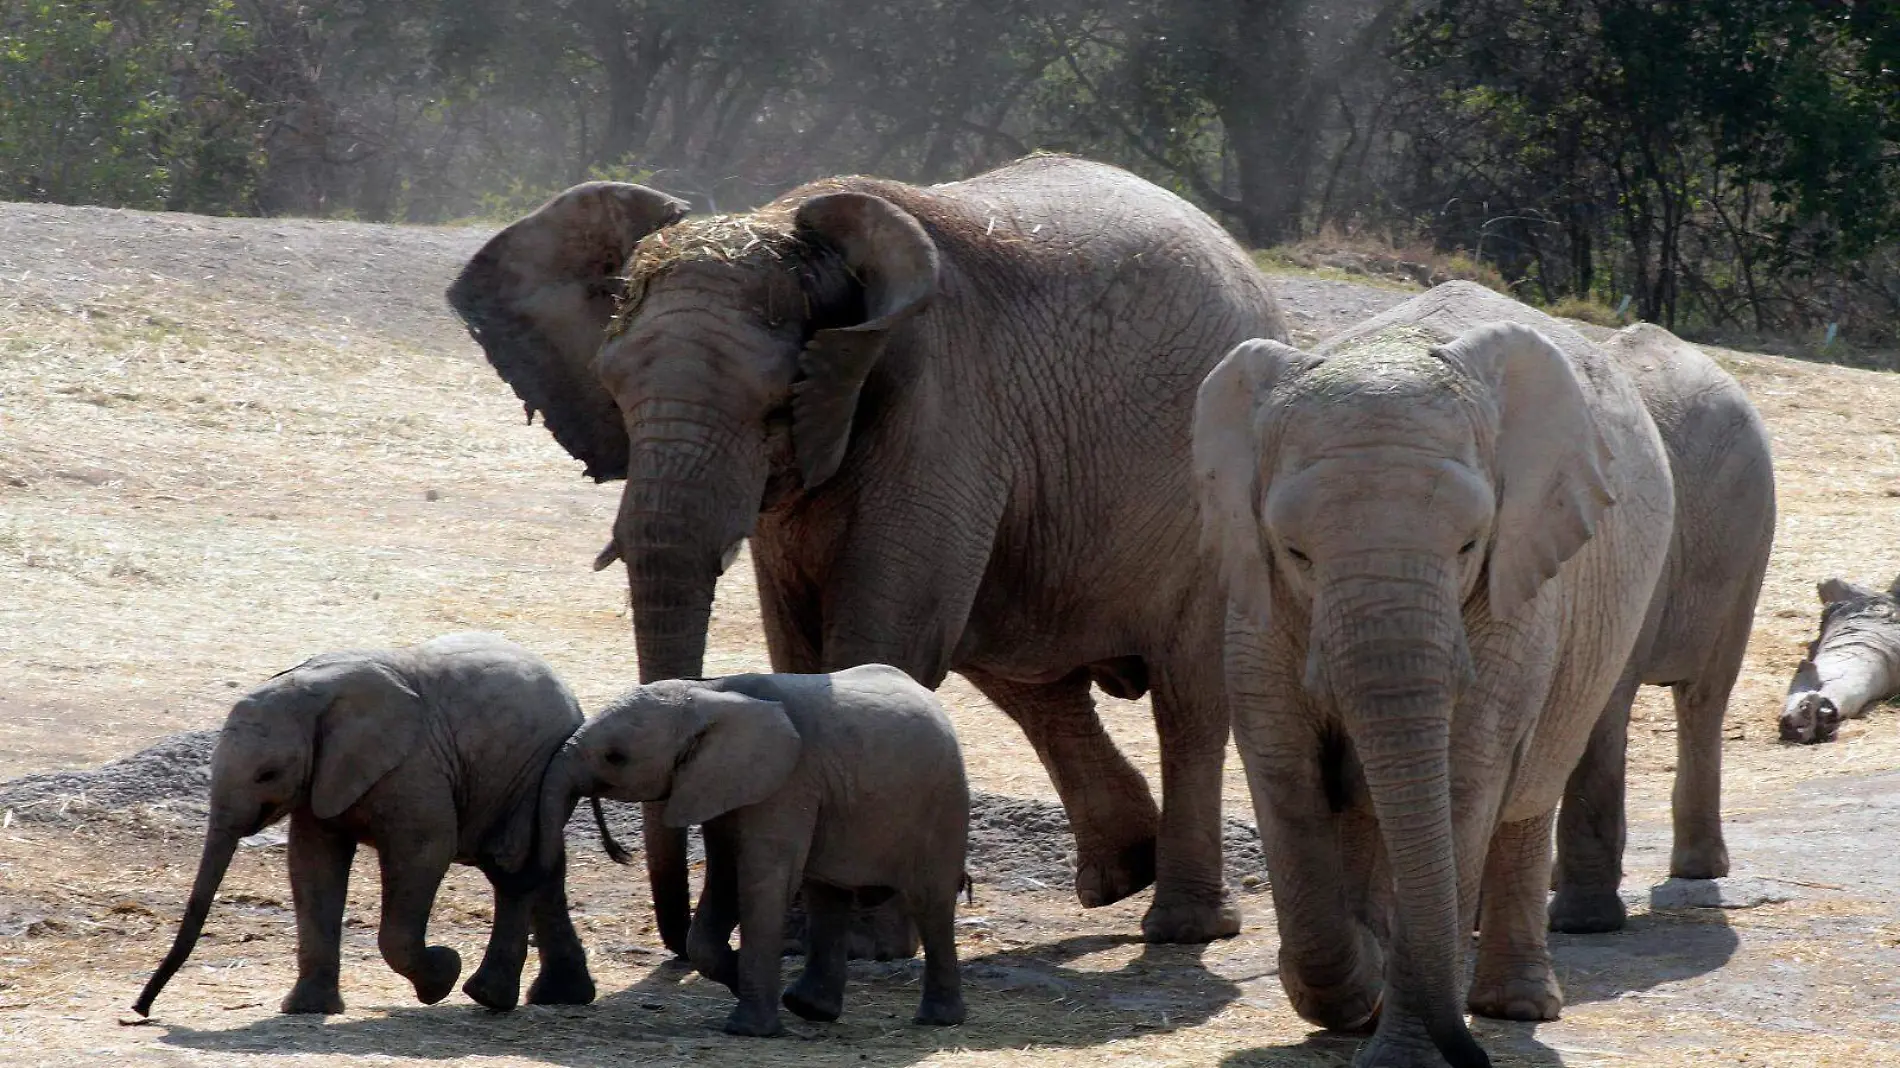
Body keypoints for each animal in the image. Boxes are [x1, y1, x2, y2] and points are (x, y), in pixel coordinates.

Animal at [135, 630, 592, 1010]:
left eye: (267, 774)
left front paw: (441, 977)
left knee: (512, 865)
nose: (140, 1010)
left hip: (530, 774)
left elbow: (426, 848)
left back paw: (489, 996)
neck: (313, 694)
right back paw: (556, 997)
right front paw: (306, 1009)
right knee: (538, 870)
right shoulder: (323, 775)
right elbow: (312, 863)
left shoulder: (415, 766)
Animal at [444, 152, 1284, 946]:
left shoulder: (940, 413)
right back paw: (1119, 875)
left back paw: (1183, 925)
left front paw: (860, 941)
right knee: (1024, 675)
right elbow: (799, 651)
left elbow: (885, 634)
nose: (679, 940)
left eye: (775, 404)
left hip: (1212, 493)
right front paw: (803, 933)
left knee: (1187, 696)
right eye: (613, 392)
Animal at [543, 661, 972, 1033]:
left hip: (943, 800)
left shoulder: (789, 780)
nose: (620, 852)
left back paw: (937, 1020)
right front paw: (741, 981)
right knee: (827, 897)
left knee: (930, 900)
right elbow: (725, 878)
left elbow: (762, 878)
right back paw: (808, 1007)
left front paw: (747, 1029)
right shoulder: (723, 784)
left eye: (615, 758)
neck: (712, 692)